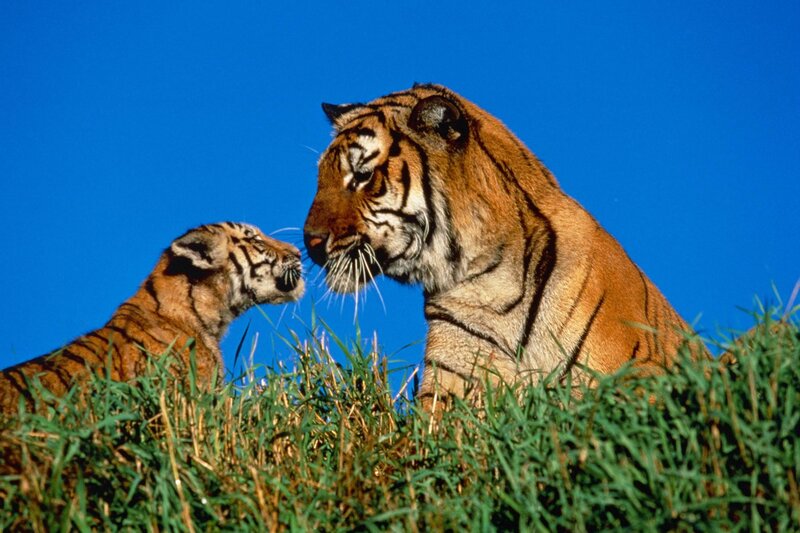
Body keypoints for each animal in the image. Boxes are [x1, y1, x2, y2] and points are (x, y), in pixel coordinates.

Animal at [303, 84, 706, 409]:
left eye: (362, 175)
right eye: (320, 177)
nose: (311, 243)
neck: (487, 282)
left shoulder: (636, 373)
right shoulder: (452, 376)